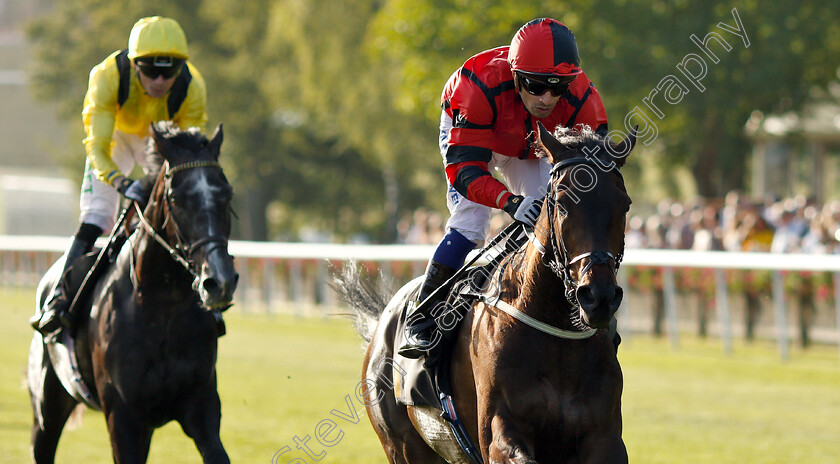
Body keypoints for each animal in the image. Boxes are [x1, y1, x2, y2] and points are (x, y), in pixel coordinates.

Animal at [27, 121, 238, 462]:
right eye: (176, 198)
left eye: (226, 194)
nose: (219, 280)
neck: (162, 308)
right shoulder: (122, 415)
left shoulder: (201, 406)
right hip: (47, 406)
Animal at [338, 124, 632, 464]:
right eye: (561, 203)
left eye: (624, 204)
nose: (598, 297)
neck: (557, 332)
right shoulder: (498, 432)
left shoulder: (604, 435)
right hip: (402, 446)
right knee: (465, 224)